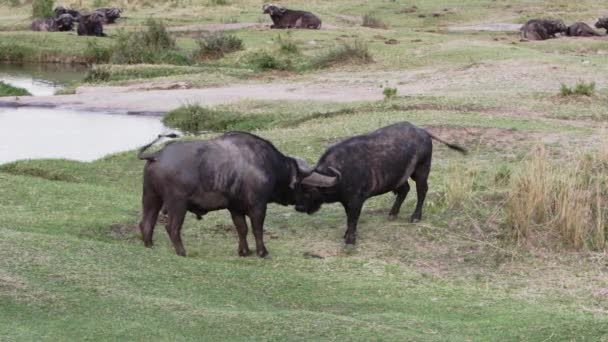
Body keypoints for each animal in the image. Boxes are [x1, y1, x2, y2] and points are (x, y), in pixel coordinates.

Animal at [138, 132, 314, 258]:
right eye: (302, 184)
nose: (307, 206)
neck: (266, 163)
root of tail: (157, 155)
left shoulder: (235, 208)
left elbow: (242, 229)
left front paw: (244, 252)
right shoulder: (258, 206)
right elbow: (257, 229)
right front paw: (262, 252)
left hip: (151, 197)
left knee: (146, 223)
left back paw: (149, 245)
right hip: (177, 204)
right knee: (172, 228)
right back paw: (182, 252)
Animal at [294, 121, 466, 244]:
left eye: (310, 190)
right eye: (298, 187)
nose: (298, 207)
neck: (341, 172)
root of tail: (422, 131)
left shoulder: (356, 201)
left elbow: (353, 218)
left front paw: (350, 239)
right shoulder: (347, 201)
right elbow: (349, 217)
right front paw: (347, 234)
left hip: (422, 170)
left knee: (422, 190)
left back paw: (415, 217)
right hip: (398, 178)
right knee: (404, 190)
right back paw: (392, 213)